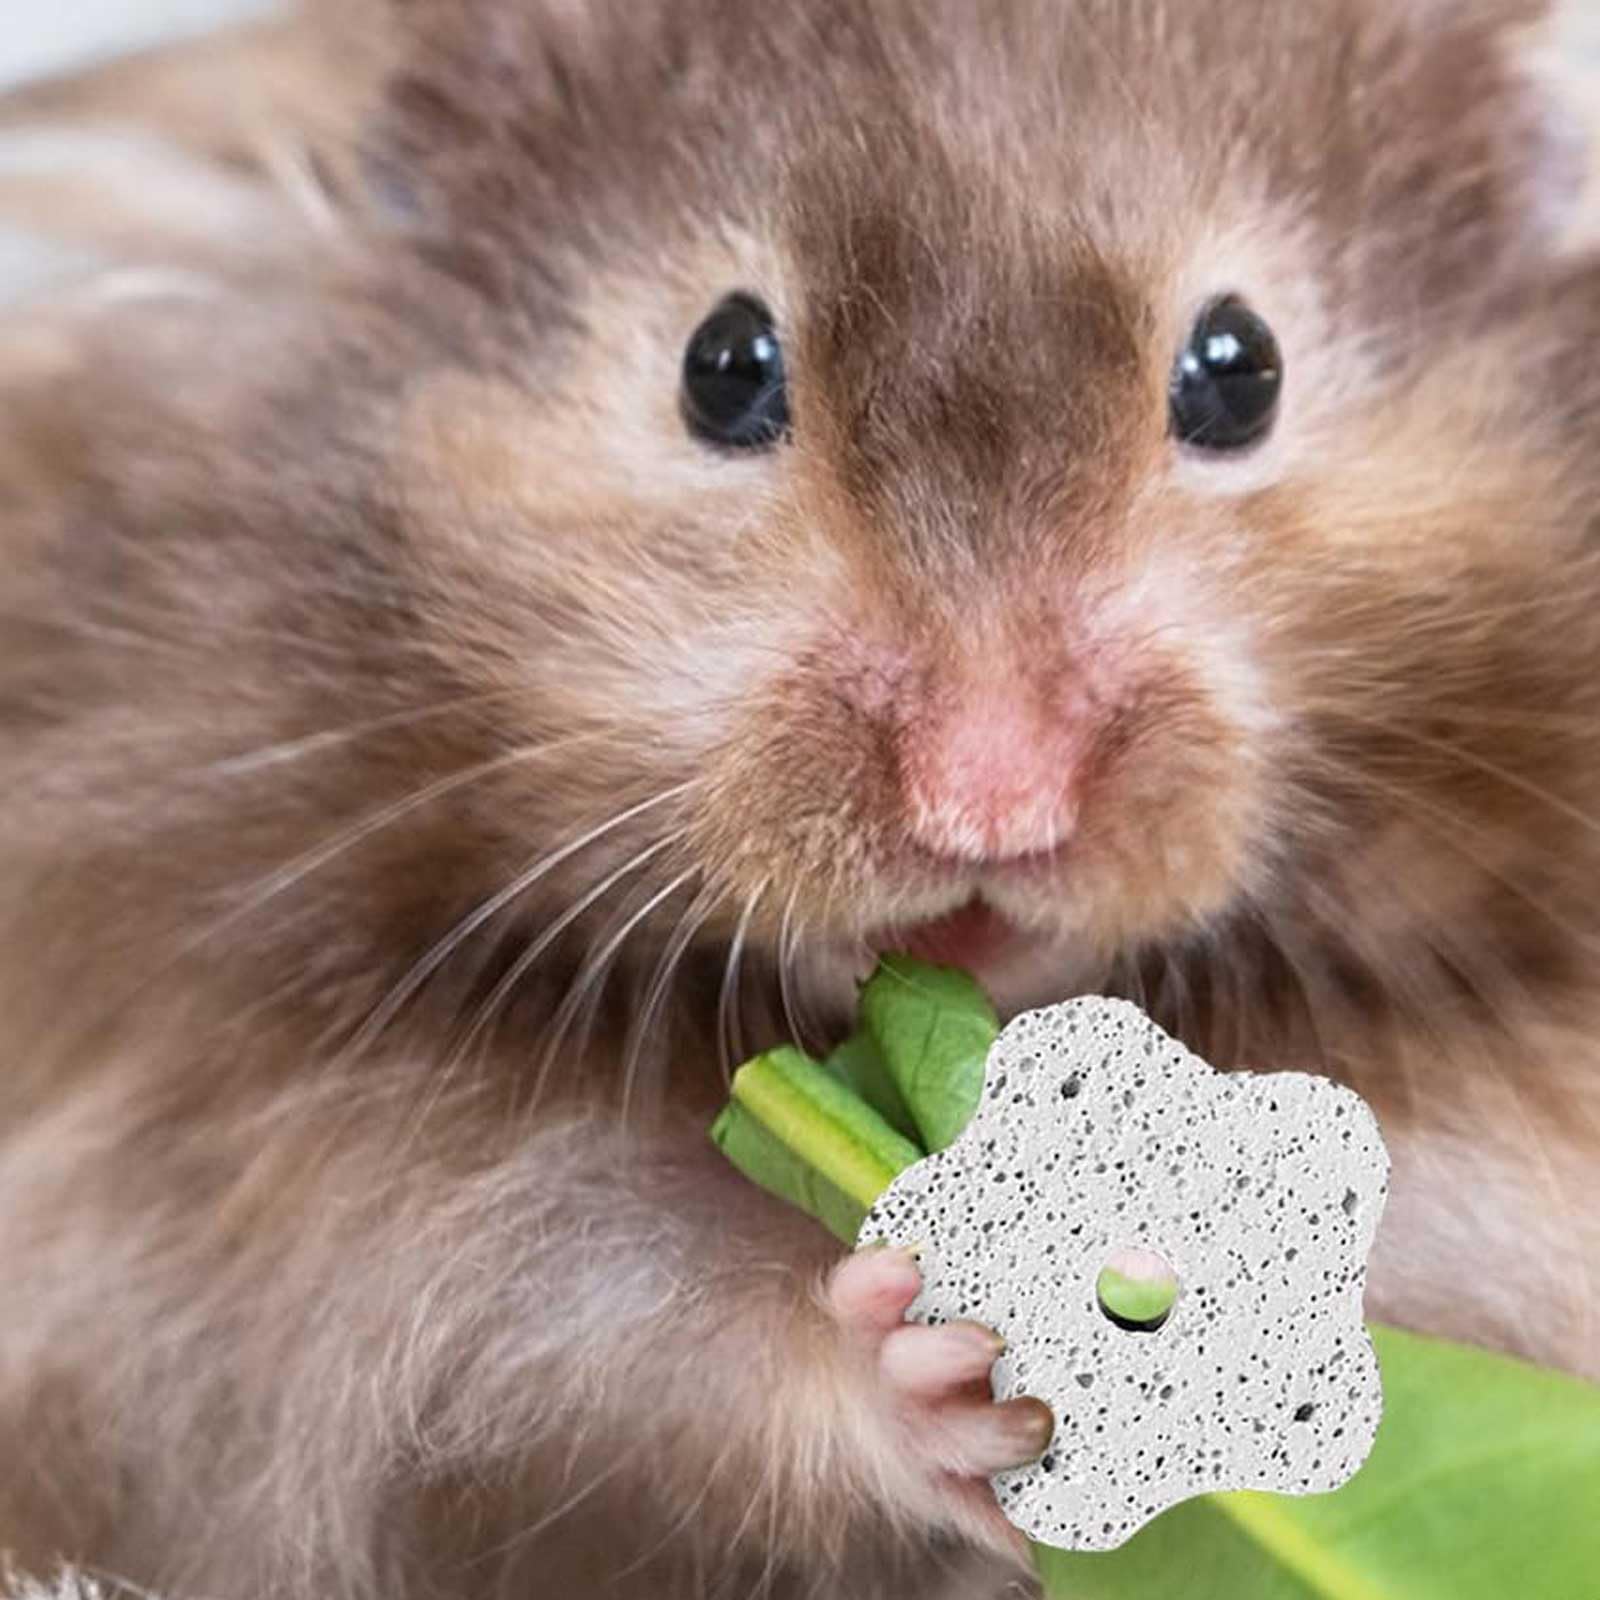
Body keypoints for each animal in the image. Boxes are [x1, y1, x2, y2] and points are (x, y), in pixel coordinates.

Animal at [0, 1, 1597, 1595]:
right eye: (722, 364)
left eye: (1238, 367)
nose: (988, 804)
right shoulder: (309, 1249)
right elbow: (641, 1345)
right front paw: (945, 1361)